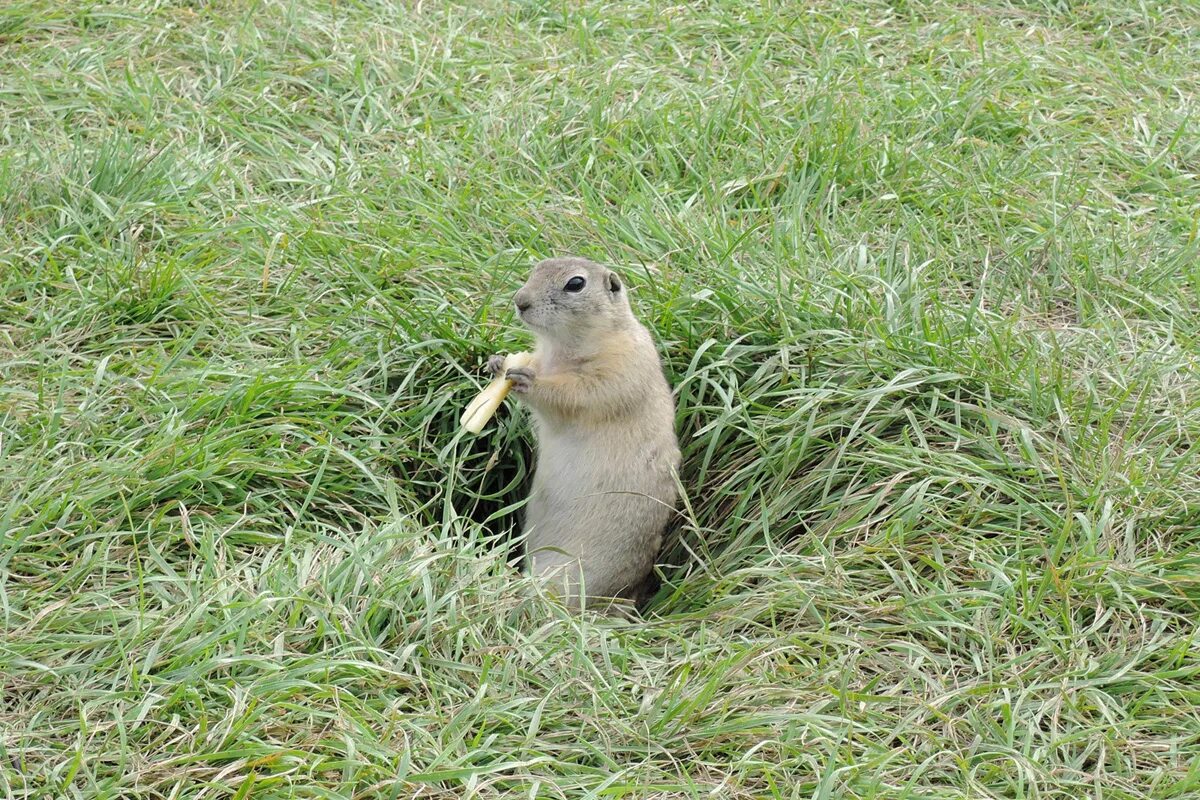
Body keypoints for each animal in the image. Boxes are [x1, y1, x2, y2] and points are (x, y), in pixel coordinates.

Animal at [482, 256, 681, 614]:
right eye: (536, 269)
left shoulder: (618, 369)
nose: (520, 301)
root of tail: (624, 598)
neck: (562, 348)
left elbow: (574, 395)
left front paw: (526, 380)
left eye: (576, 284)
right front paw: (496, 361)